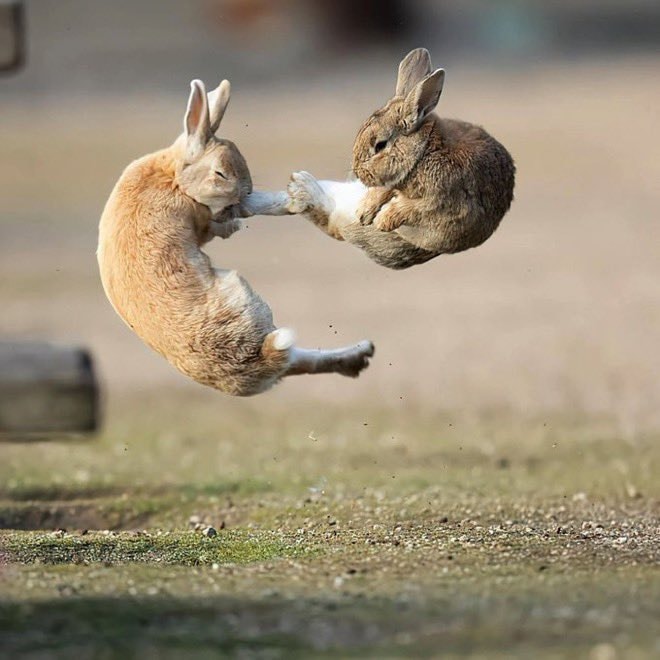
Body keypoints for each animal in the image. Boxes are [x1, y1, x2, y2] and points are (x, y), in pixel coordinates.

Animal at [98, 79, 374, 397]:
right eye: (220, 173)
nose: (246, 192)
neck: (174, 177)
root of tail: (260, 359)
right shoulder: (201, 218)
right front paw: (257, 214)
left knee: (300, 361)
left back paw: (360, 354)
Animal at [267, 48, 515, 270]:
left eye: (380, 145)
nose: (358, 173)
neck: (423, 153)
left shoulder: (439, 202)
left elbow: (409, 209)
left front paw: (382, 220)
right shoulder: (390, 183)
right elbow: (382, 193)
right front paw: (365, 212)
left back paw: (301, 187)